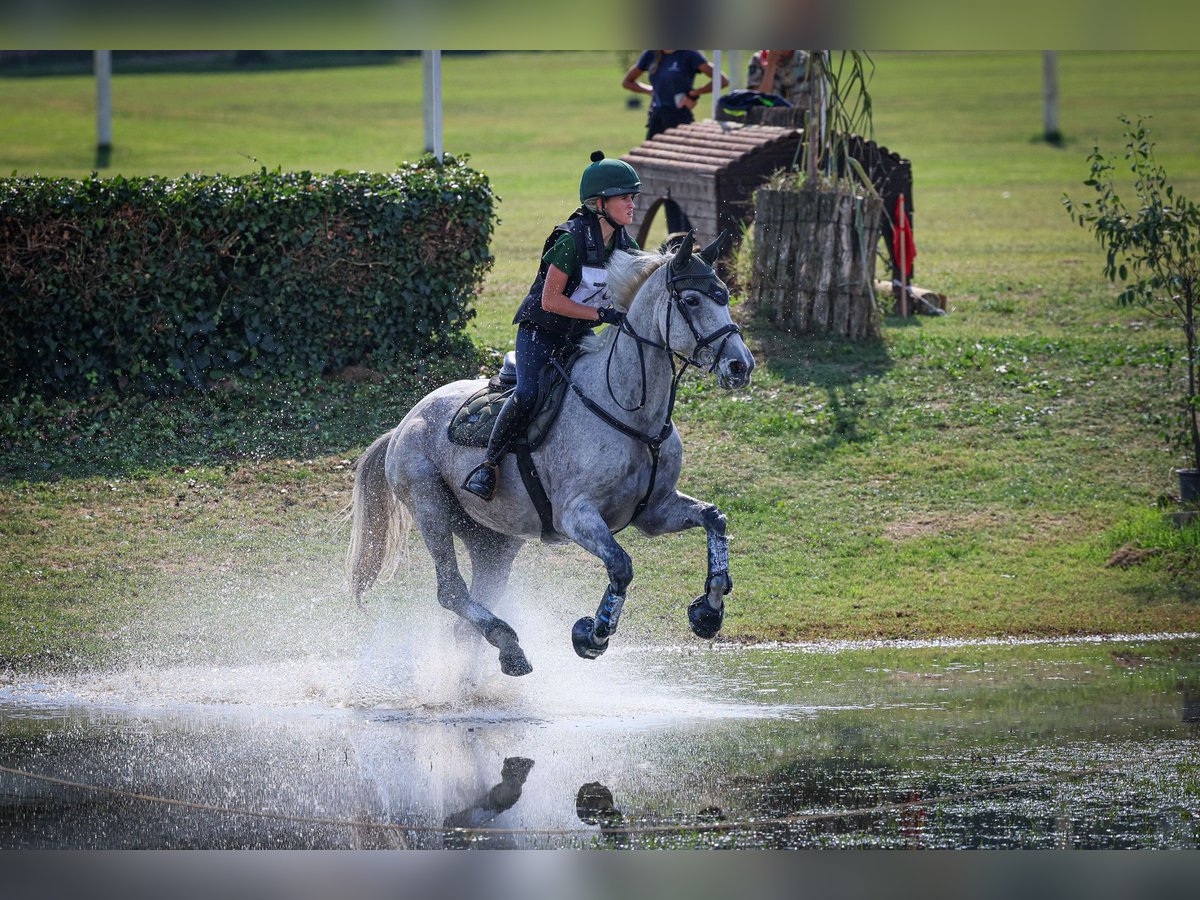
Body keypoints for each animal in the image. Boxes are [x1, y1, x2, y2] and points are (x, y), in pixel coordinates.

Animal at [348, 232, 753, 676]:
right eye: (693, 301)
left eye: (724, 294)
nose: (741, 366)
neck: (632, 415)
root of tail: (403, 423)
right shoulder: (576, 516)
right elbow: (621, 565)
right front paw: (593, 635)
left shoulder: (654, 512)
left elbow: (714, 519)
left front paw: (708, 612)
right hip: (430, 504)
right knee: (450, 590)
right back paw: (507, 641)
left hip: (494, 540)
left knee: (468, 616)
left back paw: (498, 656)